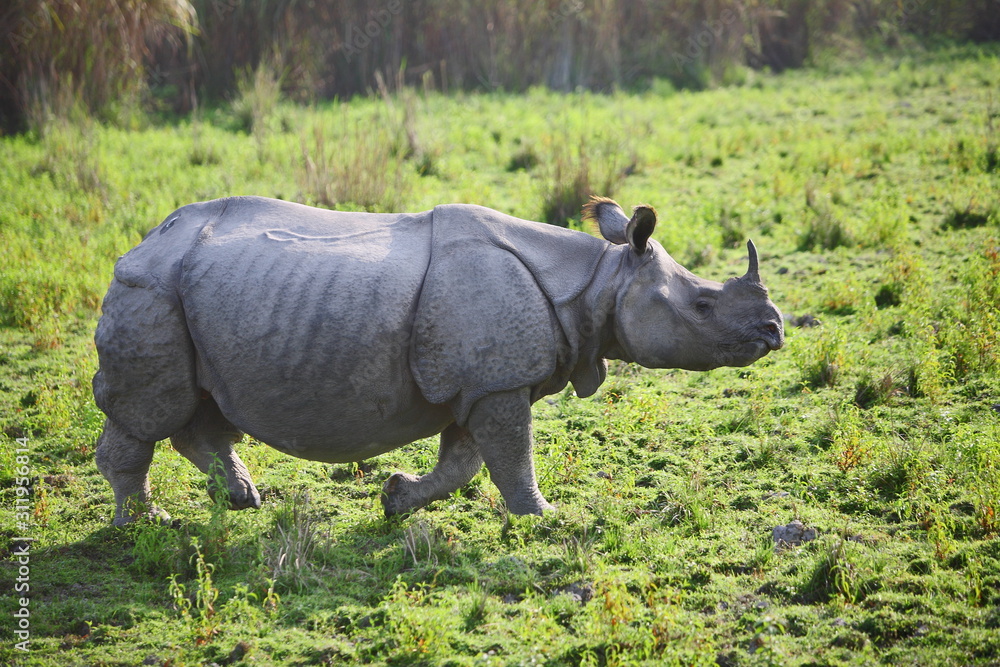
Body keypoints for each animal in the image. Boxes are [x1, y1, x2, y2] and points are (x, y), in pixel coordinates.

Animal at [93, 195, 783, 526]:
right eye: (702, 306)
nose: (774, 331)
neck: (596, 281)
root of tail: (142, 243)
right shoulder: (498, 381)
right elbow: (509, 457)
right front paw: (545, 519)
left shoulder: (480, 383)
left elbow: (465, 461)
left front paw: (397, 499)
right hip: (149, 291)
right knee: (149, 413)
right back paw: (147, 524)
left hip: (193, 296)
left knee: (198, 407)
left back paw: (240, 499)